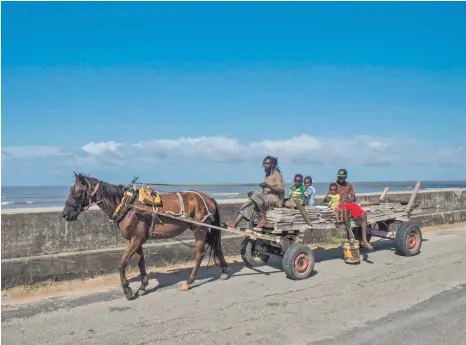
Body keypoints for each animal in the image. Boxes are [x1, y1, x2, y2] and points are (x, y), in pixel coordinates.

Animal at [62, 172, 229, 298]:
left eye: (77, 192)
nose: (65, 214)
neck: (128, 206)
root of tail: (208, 198)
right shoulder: (136, 239)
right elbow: (140, 262)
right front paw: (142, 286)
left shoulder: (136, 239)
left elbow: (122, 263)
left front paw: (128, 290)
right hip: (204, 229)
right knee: (216, 246)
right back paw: (224, 271)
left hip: (199, 229)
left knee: (200, 253)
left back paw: (189, 282)